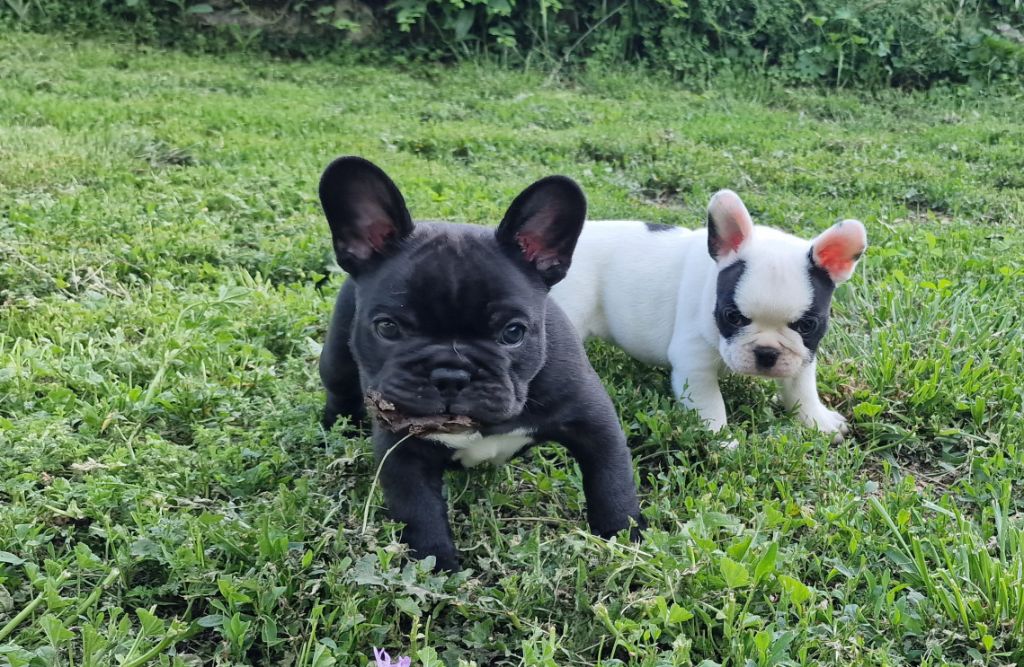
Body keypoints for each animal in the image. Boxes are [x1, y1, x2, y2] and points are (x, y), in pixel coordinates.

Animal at [315, 157, 643, 573]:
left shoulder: (594, 423)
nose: (451, 374)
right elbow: (419, 513)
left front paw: (626, 540)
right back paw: (335, 425)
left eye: (513, 332)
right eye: (388, 328)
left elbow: (611, 483)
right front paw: (436, 570)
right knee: (338, 386)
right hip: (337, 356)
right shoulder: (401, 455)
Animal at [548, 191, 868, 442]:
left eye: (806, 325)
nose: (766, 353)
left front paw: (818, 421)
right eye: (733, 317)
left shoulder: (803, 355)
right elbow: (710, 405)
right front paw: (720, 440)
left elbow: (802, 388)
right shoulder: (695, 364)